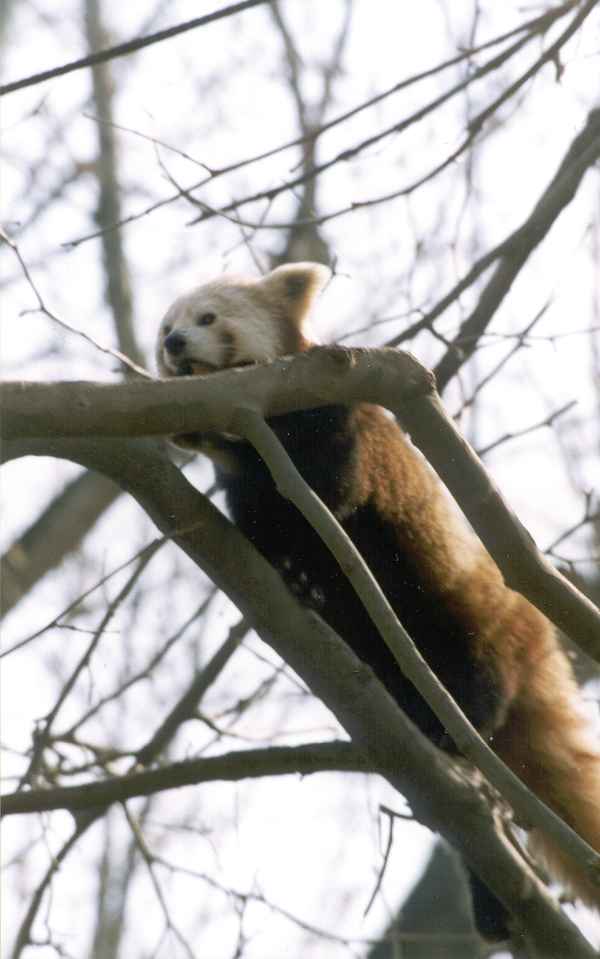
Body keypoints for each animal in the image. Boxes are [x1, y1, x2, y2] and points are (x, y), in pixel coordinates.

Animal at [157, 261, 600, 940]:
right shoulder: (244, 487)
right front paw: (295, 574)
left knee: (477, 673)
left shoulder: (337, 420)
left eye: (207, 317)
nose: (175, 343)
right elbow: (263, 527)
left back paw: (455, 718)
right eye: (166, 328)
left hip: (475, 617)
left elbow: (331, 493)